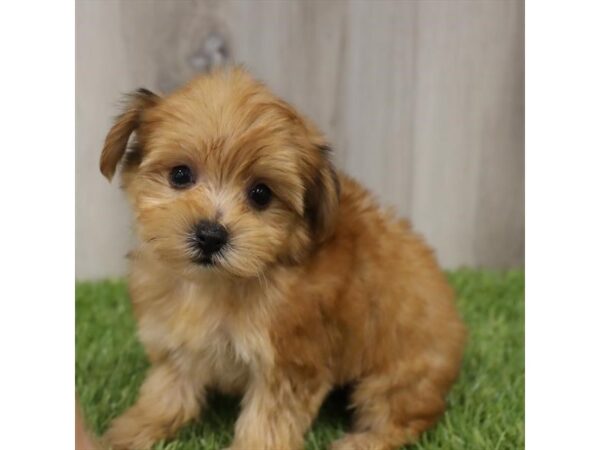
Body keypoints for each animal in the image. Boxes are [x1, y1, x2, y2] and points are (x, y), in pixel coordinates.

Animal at [98, 67, 466, 450]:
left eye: (261, 194)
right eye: (180, 175)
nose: (211, 236)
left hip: (399, 374)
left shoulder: (290, 363)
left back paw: (360, 441)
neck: (217, 284)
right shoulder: (176, 342)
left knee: (403, 414)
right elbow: (167, 393)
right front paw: (128, 432)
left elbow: (266, 423)